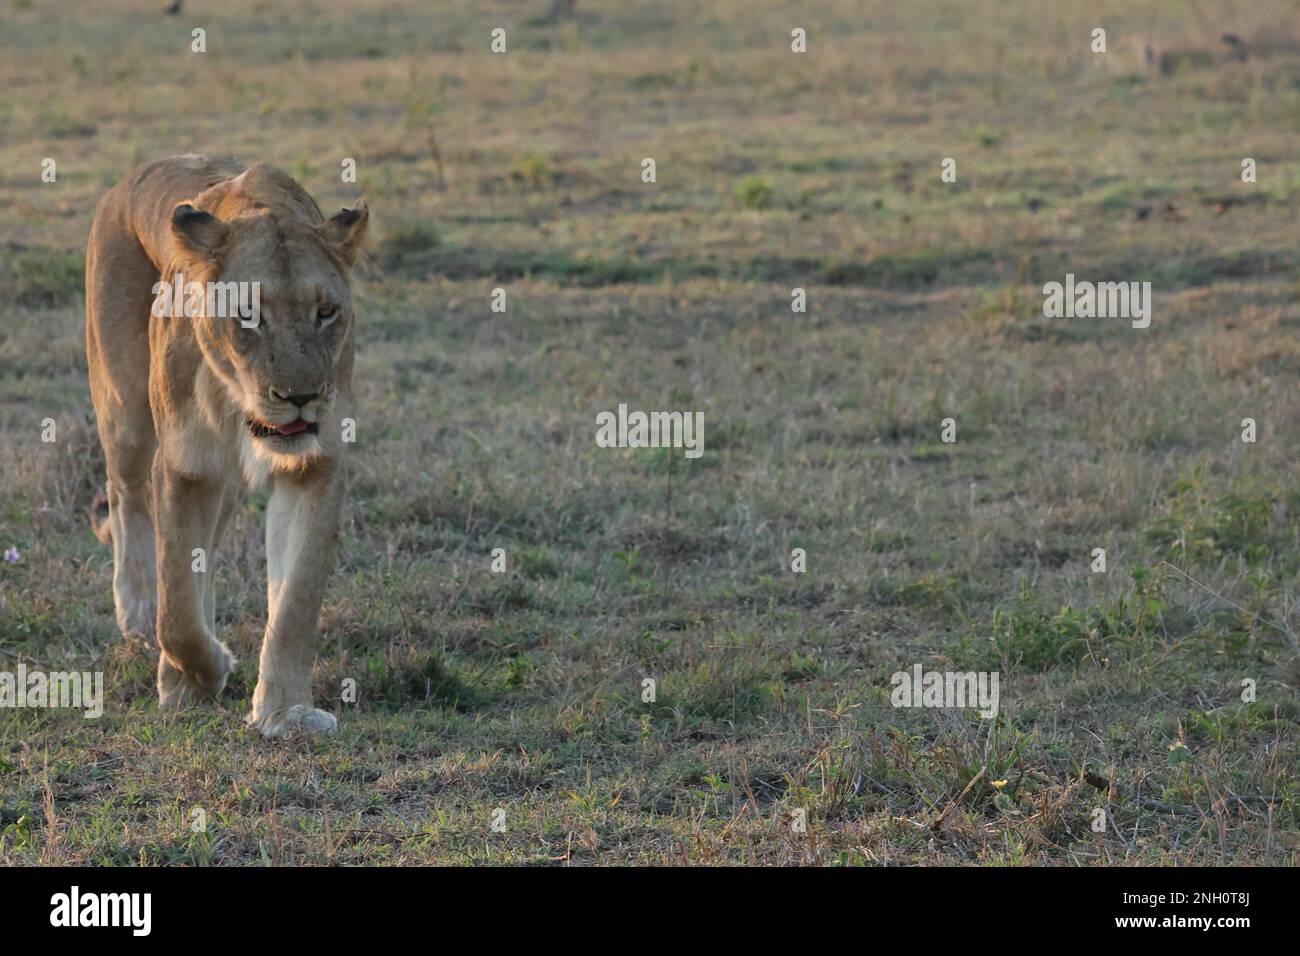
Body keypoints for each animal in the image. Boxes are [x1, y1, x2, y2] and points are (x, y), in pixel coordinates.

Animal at [85, 155, 371, 738]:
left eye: (326, 313)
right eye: (248, 314)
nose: (301, 397)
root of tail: (124, 183)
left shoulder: (314, 468)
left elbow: (294, 603)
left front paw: (285, 712)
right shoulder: (185, 466)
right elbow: (176, 611)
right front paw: (204, 671)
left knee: (206, 550)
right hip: (125, 413)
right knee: (125, 498)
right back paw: (138, 615)